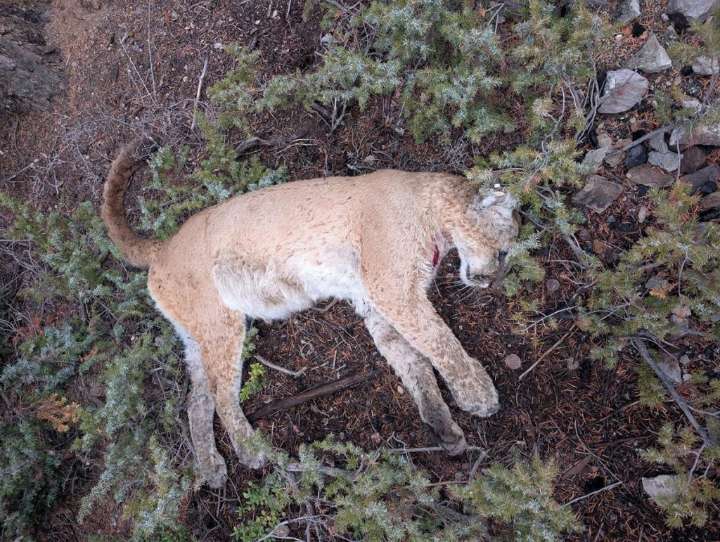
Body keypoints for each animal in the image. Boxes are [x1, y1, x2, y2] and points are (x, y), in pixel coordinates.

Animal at [102, 140, 519, 488]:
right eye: (503, 251)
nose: (492, 282)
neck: (430, 207)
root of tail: (164, 245)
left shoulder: (378, 302)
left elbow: (413, 362)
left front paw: (442, 423)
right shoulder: (393, 289)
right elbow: (440, 341)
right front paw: (478, 393)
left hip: (198, 334)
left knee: (197, 401)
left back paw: (211, 467)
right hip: (221, 324)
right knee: (221, 395)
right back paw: (252, 451)